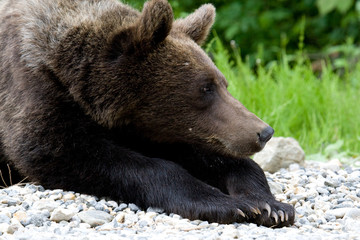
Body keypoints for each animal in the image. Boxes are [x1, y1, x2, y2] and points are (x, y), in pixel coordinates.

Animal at [0, 0, 294, 227]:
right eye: (205, 88)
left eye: (224, 84)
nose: (264, 131)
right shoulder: (33, 88)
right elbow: (59, 150)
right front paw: (226, 204)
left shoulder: (153, 129)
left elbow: (220, 159)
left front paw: (270, 206)